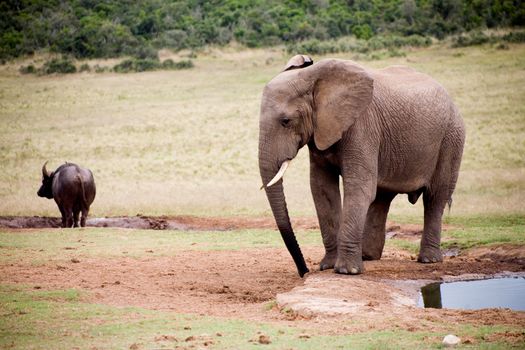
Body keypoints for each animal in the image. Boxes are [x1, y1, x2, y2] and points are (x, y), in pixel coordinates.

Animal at [258, 54, 462, 278]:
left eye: (286, 121)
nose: (304, 272)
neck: (313, 78)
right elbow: (322, 190)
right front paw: (328, 266)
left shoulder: (362, 126)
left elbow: (358, 187)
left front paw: (347, 271)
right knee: (382, 197)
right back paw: (368, 256)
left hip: (451, 137)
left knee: (435, 197)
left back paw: (428, 260)